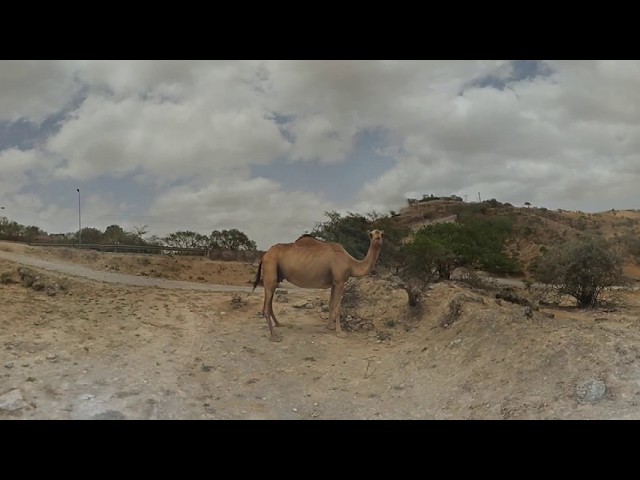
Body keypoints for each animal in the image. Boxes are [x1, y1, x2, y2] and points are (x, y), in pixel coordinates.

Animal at [252, 229, 384, 342]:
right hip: (271, 269)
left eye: (381, 233)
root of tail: (264, 255)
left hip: (275, 276)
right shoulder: (340, 281)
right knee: (266, 307)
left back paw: (279, 324)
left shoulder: (334, 283)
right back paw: (275, 337)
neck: (351, 263)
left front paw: (330, 327)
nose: (377, 236)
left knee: (269, 304)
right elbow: (337, 307)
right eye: (371, 234)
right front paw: (340, 333)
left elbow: (331, 304)